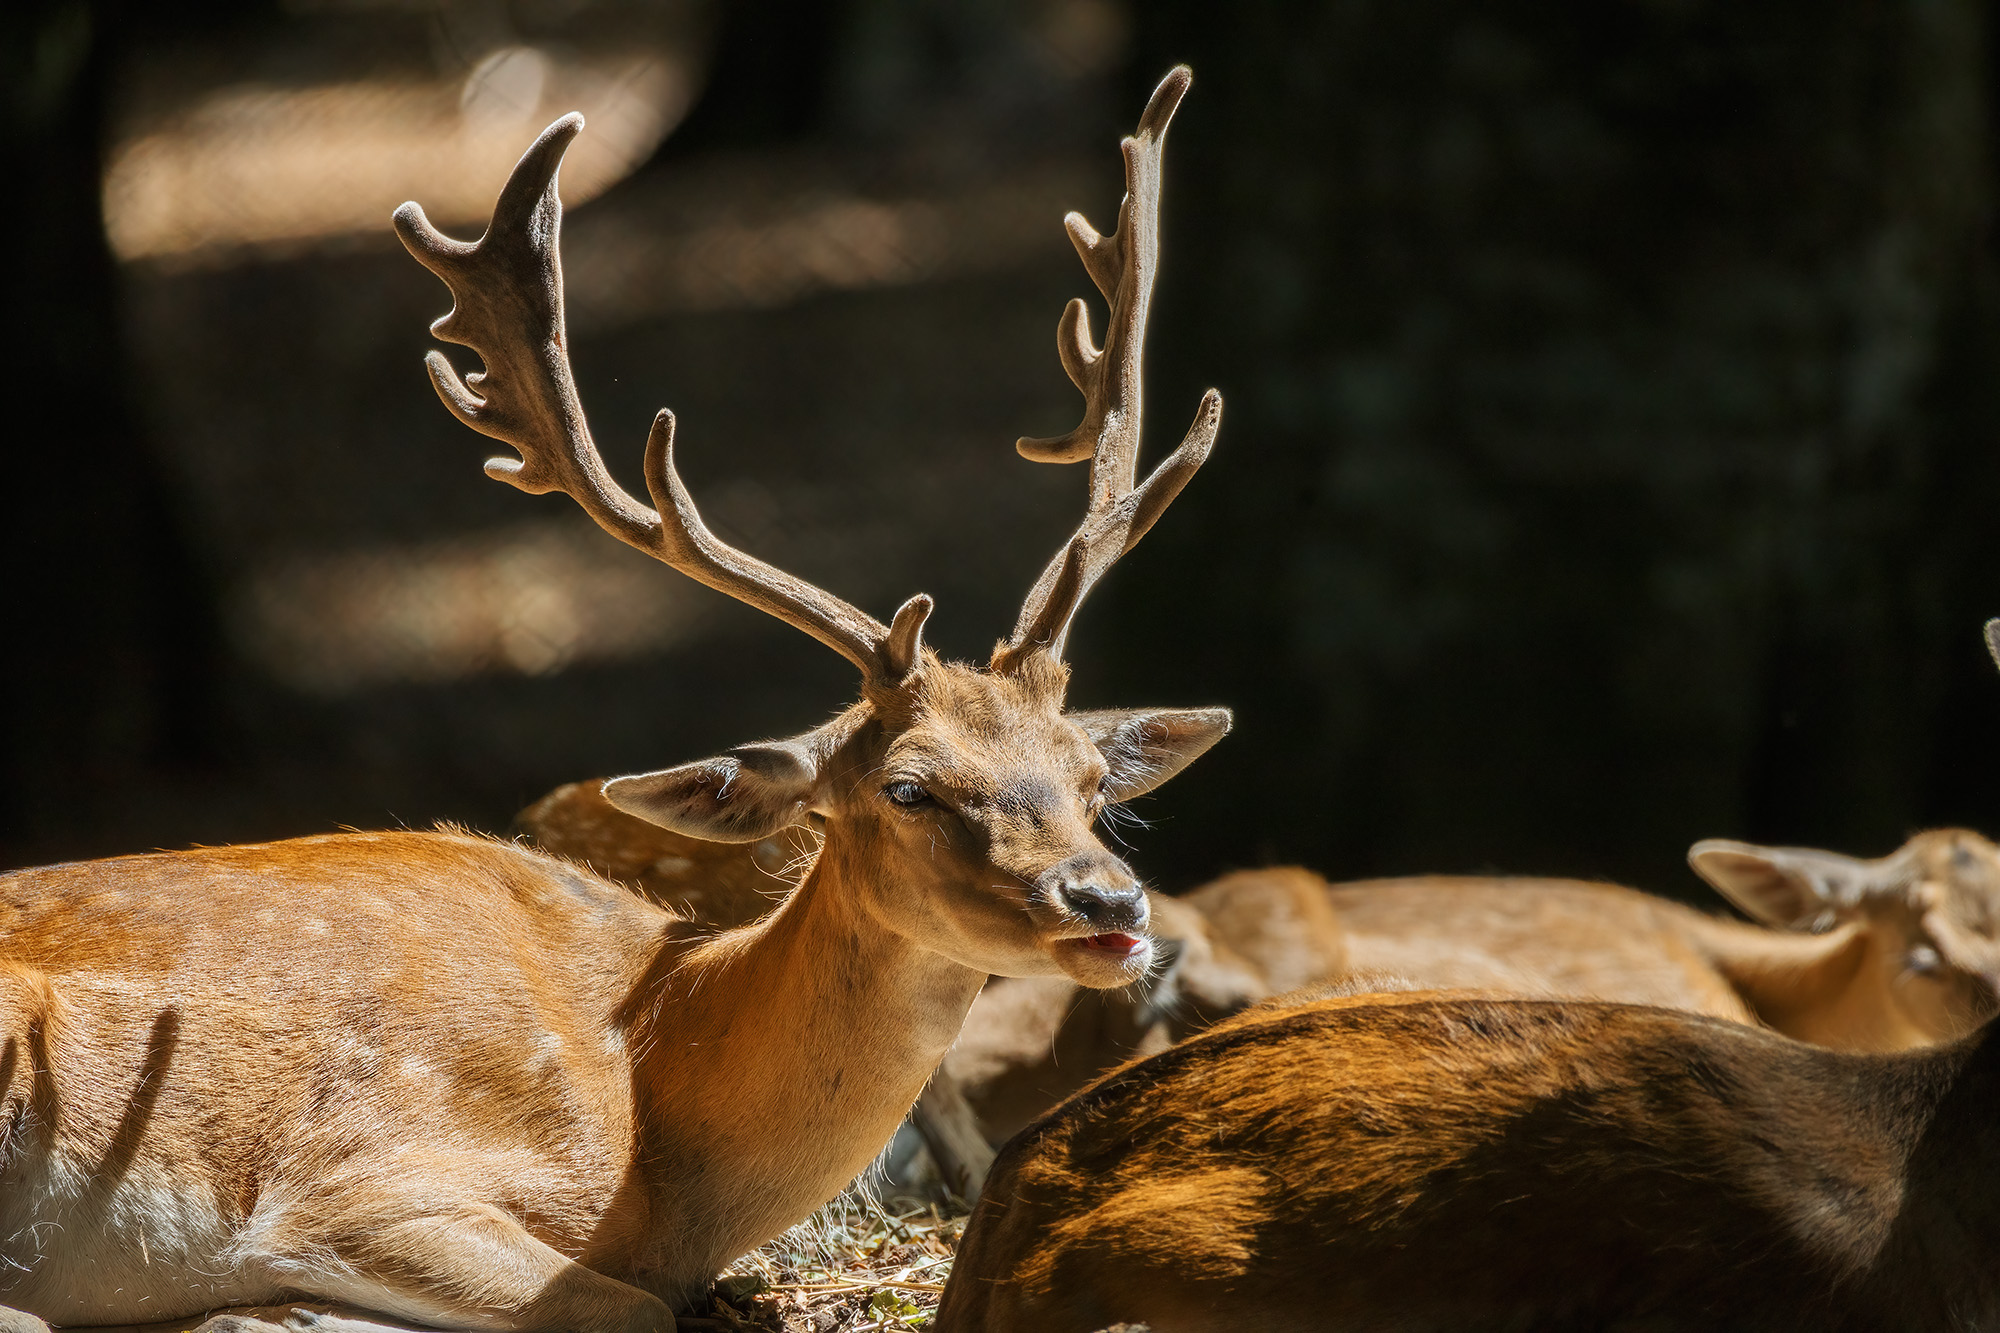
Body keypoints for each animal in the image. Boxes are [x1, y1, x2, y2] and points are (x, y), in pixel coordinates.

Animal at [0, 67, 1225, 1333]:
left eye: (1093, 779)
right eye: (908, 787)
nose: (1108, 900)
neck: (657, 1098)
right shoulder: (360, 1181)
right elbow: (626, 1303)